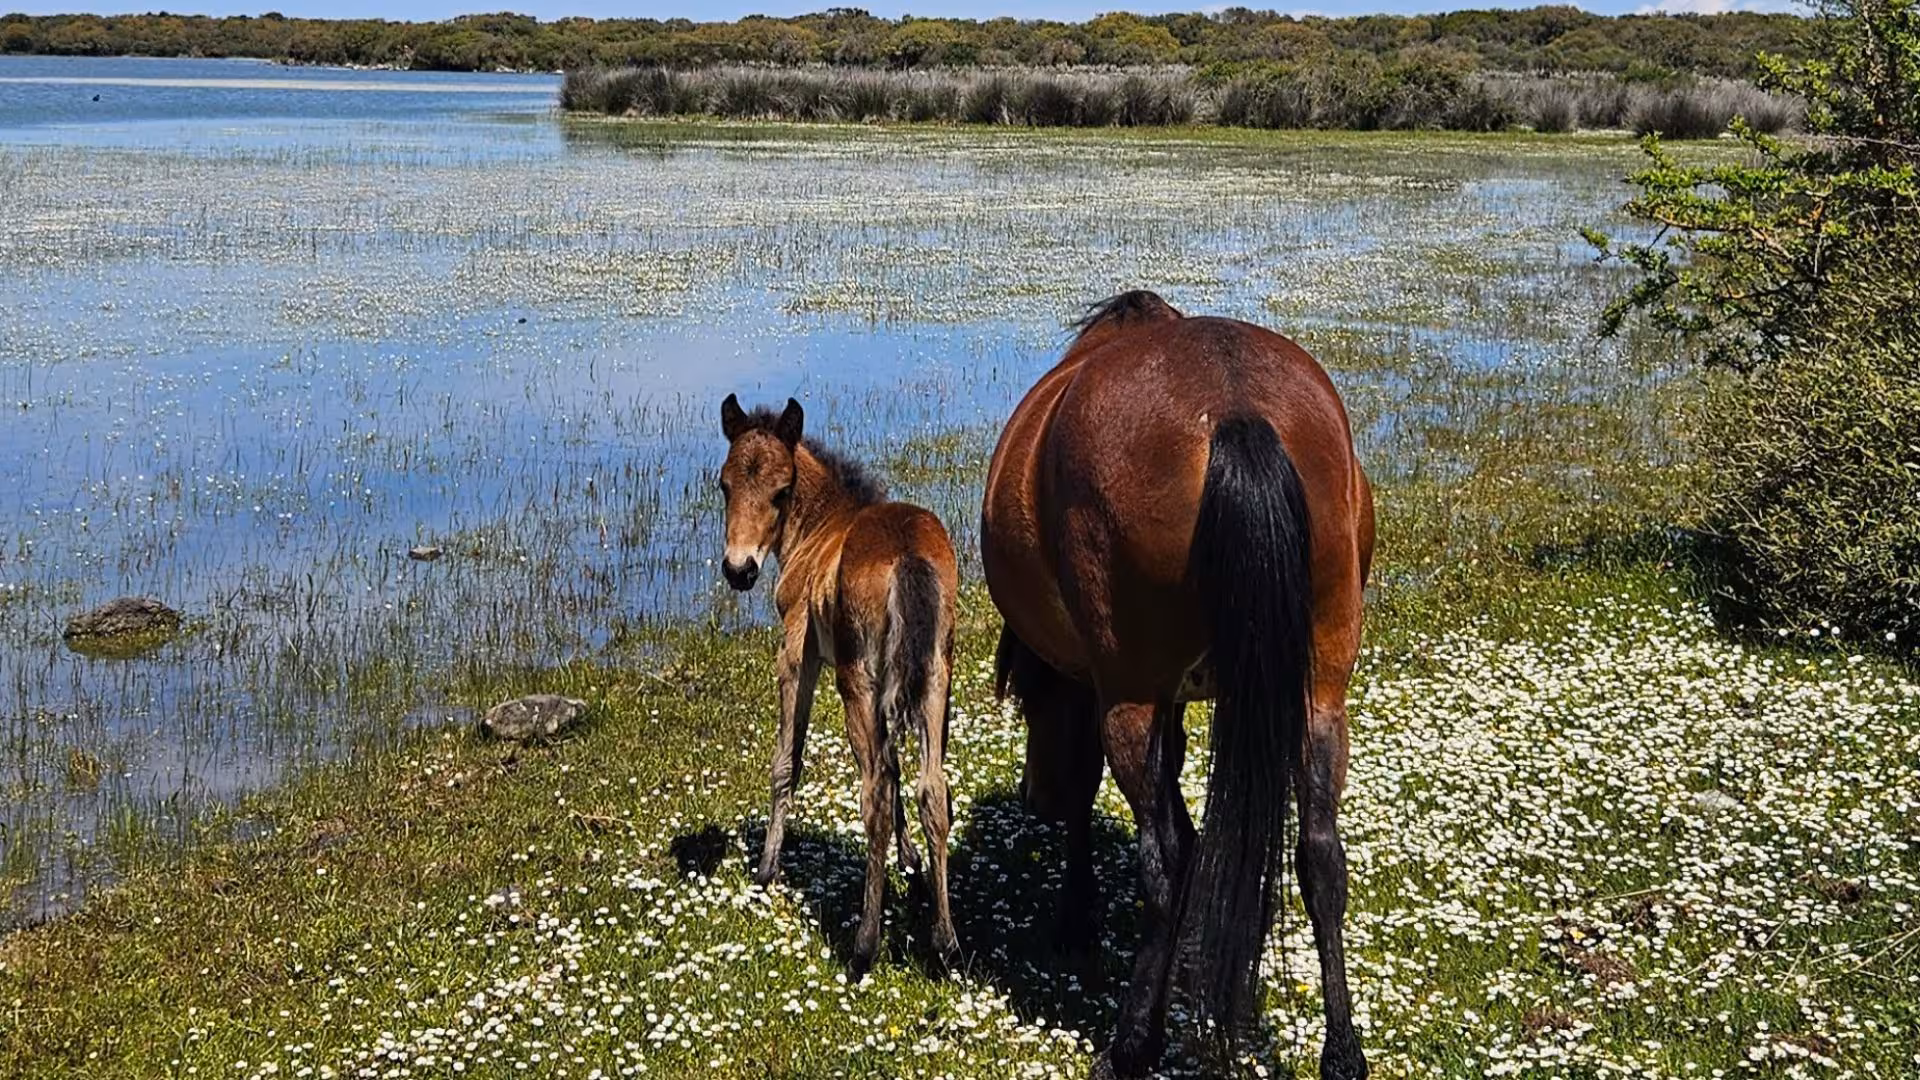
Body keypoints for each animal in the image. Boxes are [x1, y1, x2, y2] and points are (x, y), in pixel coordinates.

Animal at [717, 393, 962, 974]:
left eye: (781, 492)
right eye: (724, 485)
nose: (739, 570)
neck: (821, 527)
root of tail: (906, 556)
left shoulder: (797, 655)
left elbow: (787, 761)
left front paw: (767, 868)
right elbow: (898, 770)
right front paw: (910, 861)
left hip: (859, 681)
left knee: (873, 794)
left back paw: (864, 946)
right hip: (936, 677)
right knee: (931, 788)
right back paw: (945, 943)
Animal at [981, 291, 1375, 1079]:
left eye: (1034, 701)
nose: (1033, 796)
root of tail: (1235, 410)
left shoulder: (1114, 692)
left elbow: (1098, 797)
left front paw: (1077, 917)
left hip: (1132, 699)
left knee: (1166, 861)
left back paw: (1133, 1041)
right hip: (1320, 697)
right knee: (1319, 856)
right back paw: (1340, 1052)